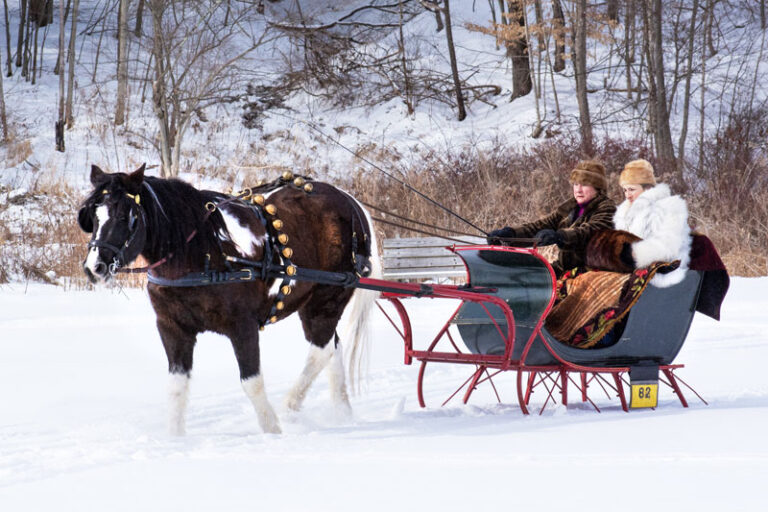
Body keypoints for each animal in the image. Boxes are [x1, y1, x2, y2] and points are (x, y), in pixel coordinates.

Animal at [77, 162, 378, 434]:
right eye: (93, 216)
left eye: (125, 215)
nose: (94, 267)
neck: (201, 252)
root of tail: (350, 201)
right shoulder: (172, 327)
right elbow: (177, 388)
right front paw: (176, 440)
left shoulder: (243, 326)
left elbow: (252, 382)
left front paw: (272, 431)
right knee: (333, 348)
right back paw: (342, 414)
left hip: (326, 299)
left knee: (321, 351)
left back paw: (290, 407)